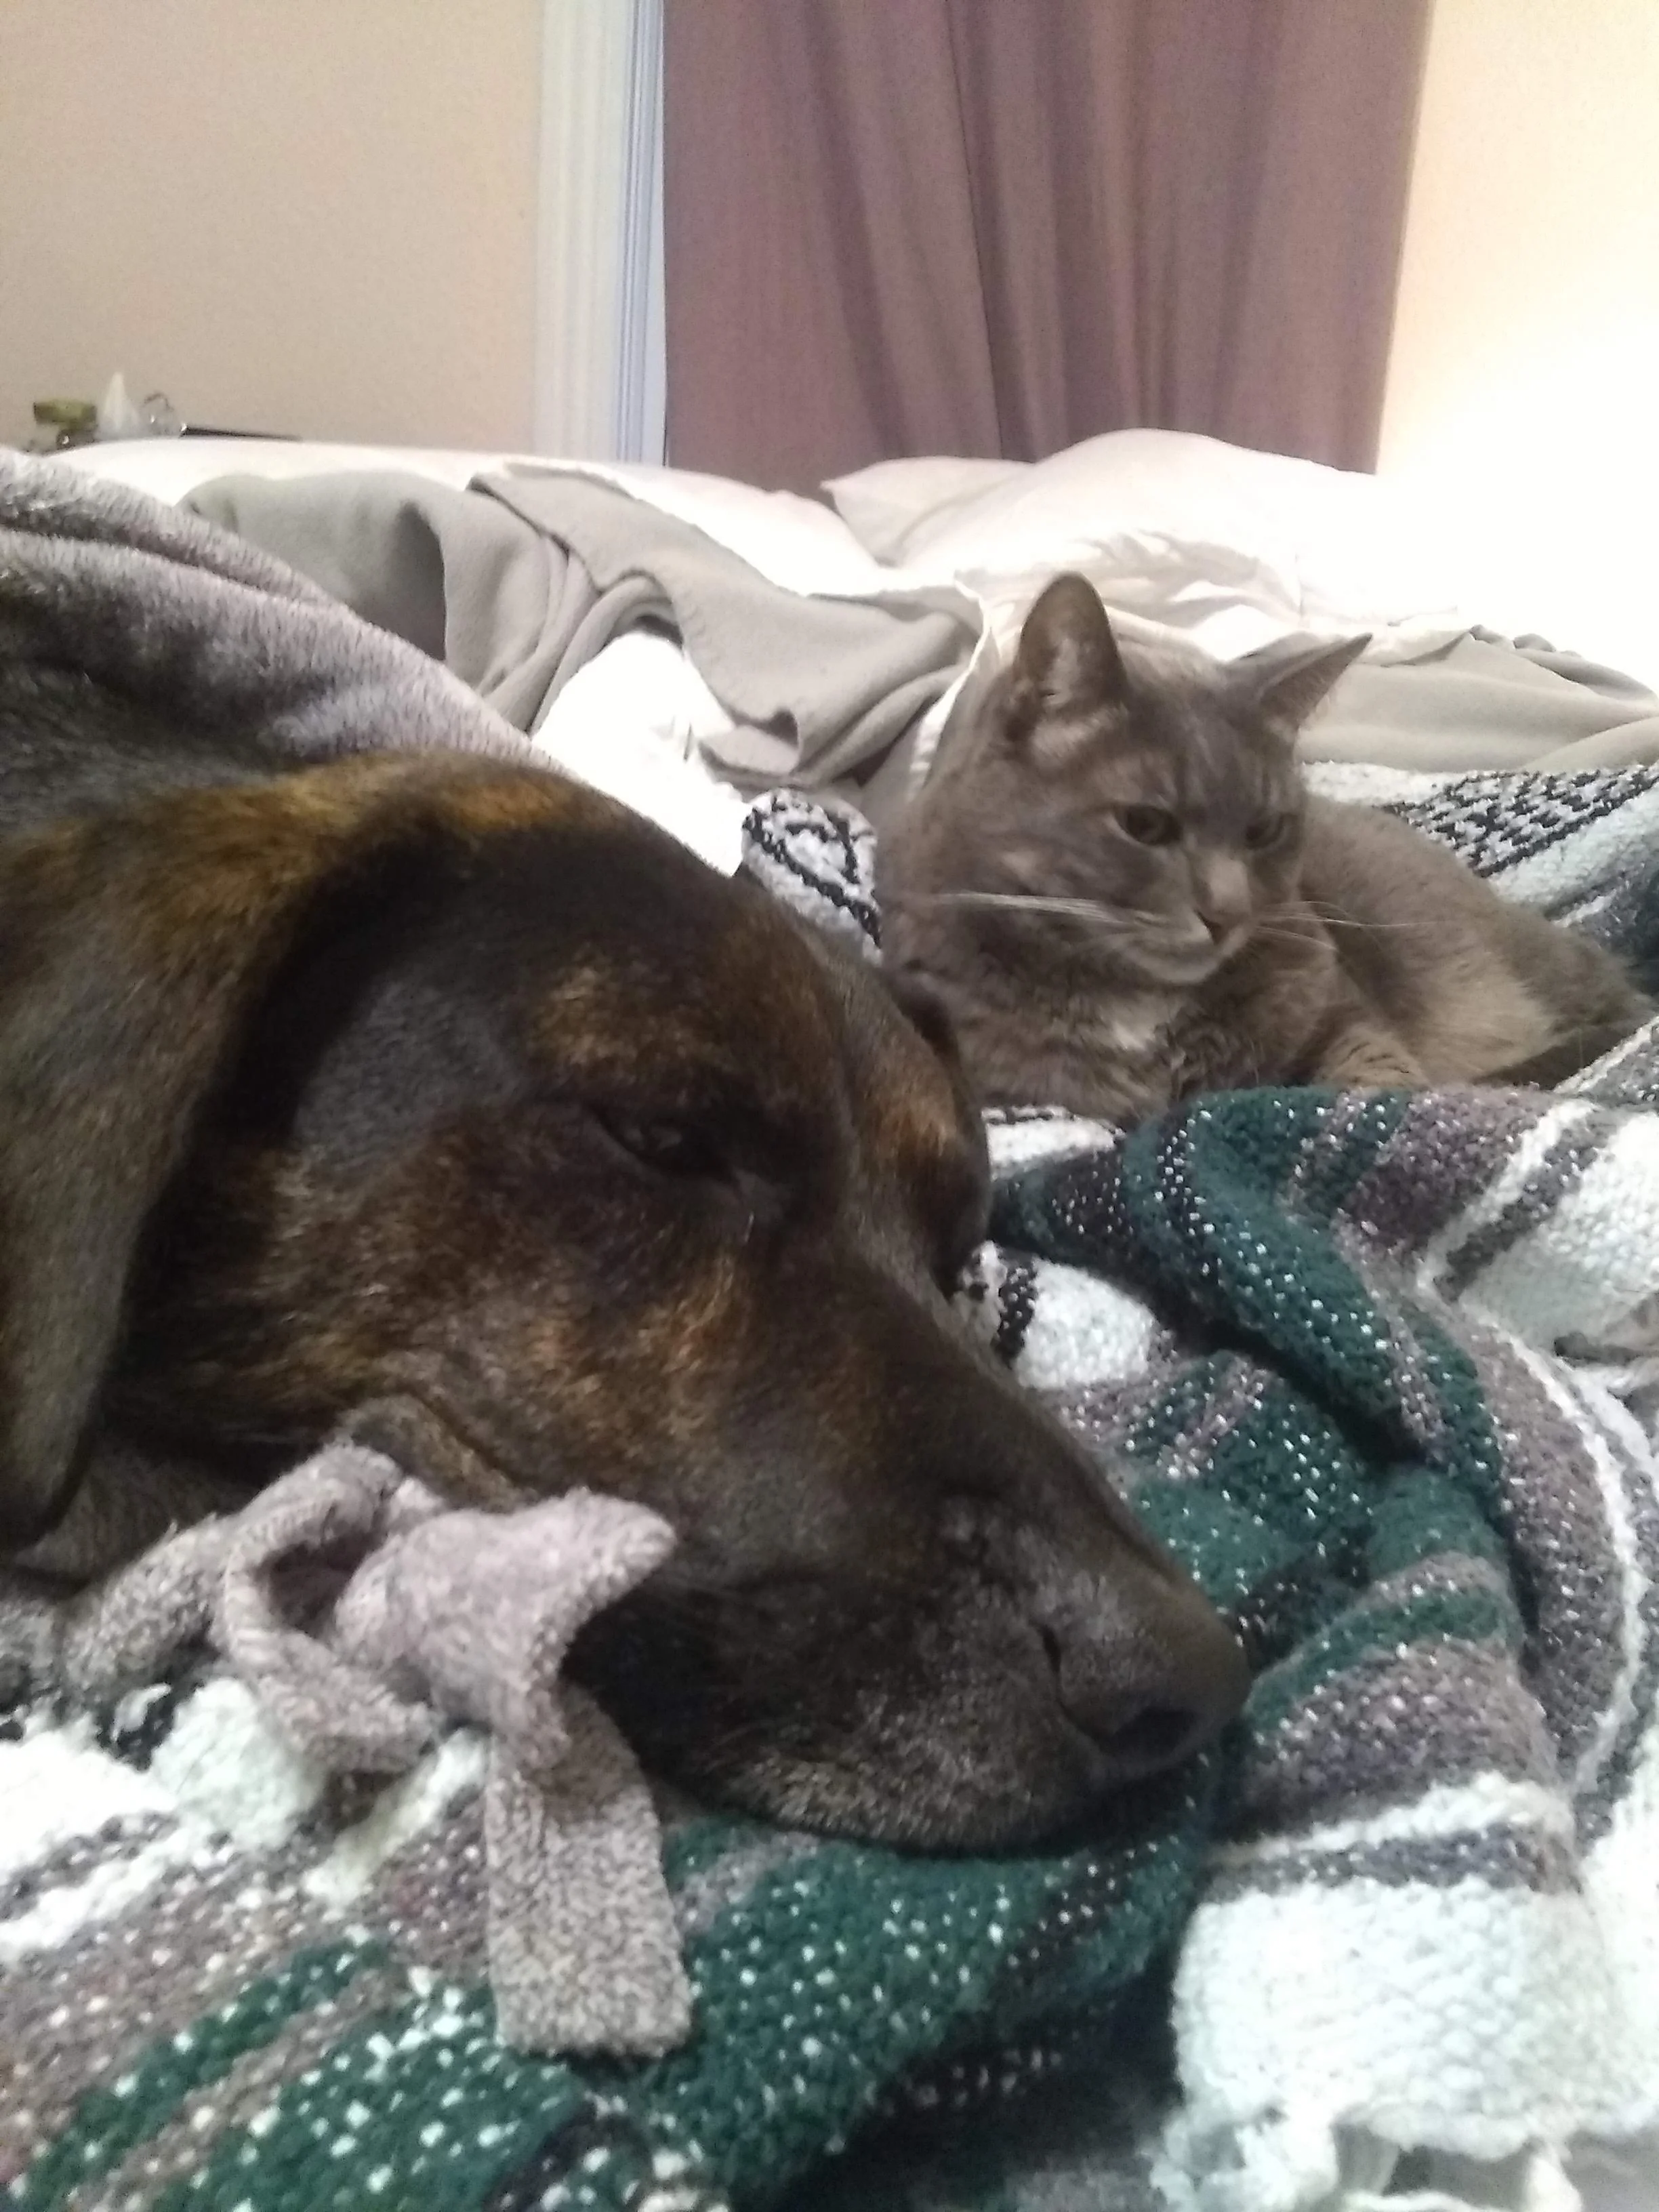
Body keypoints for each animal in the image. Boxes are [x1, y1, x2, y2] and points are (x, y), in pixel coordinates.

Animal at [877, 573, 1650, 1125]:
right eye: (1145, 824)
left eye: (1264, 830)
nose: (1226, 913)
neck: (1139, 1007)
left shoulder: (1341, 1008)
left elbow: (1372, 1080)